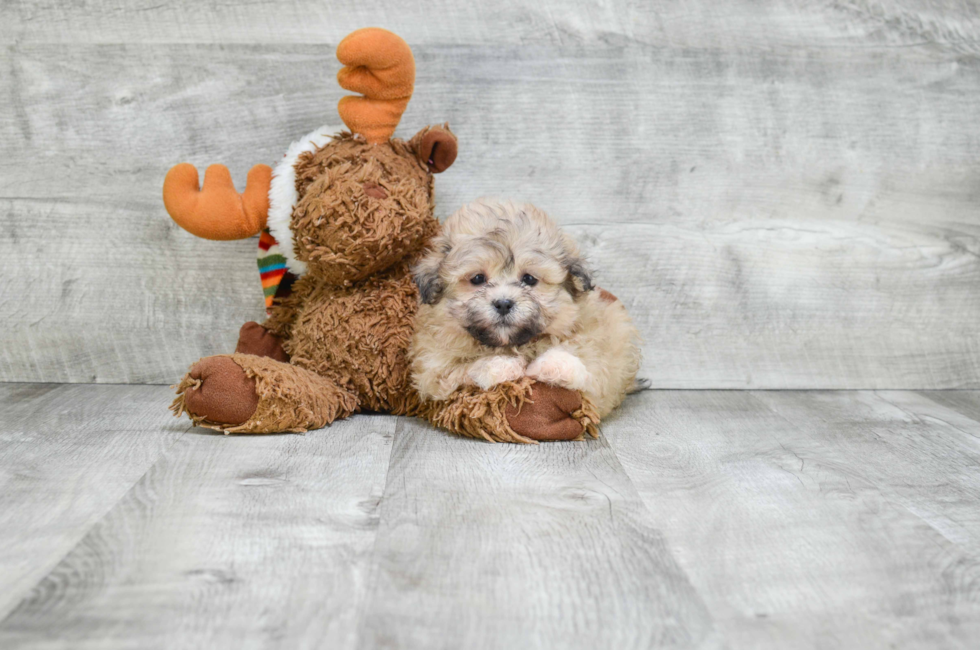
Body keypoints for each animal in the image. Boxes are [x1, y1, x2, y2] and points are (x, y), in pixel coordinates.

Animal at [408, 196, 644, 416]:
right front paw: (501, 365)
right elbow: (462, 369)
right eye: (477, 279)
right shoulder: (432, 373)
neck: (513, 343)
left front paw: (553, 365)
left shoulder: (602, 360)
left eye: (529, 279)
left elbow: (585, 368)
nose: (503, 303)